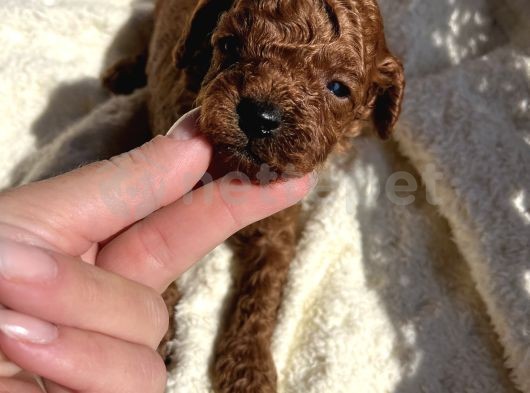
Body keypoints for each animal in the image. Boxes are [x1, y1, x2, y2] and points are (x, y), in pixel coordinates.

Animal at [102, 1, 400, 390]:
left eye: (338, 88)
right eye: (229, 45)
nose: (259, 116)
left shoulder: (276, 230)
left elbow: (261, 295)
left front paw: (248, 369)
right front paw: (158, 326)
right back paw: (123, 74)